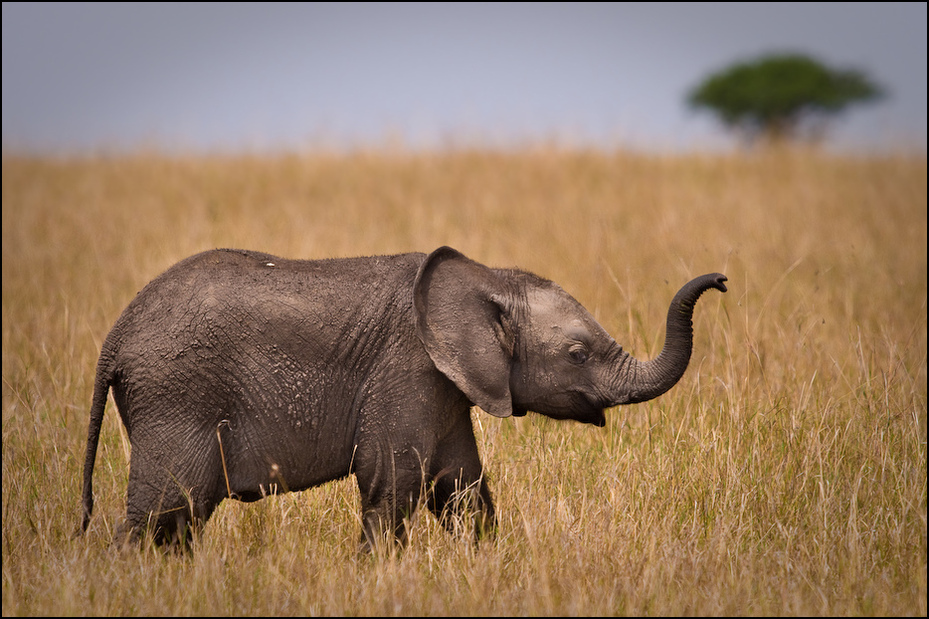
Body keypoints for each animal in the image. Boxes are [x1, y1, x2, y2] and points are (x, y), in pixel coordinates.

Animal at [80, 245, 728, 548]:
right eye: (576, 354)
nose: (721, 280)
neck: (487, 278)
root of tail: (114, 340)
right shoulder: (408, 371)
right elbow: (391, 484)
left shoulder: (447, 390)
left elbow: (462, 491)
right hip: (176, 397)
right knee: (162, 512)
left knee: (180, 524)